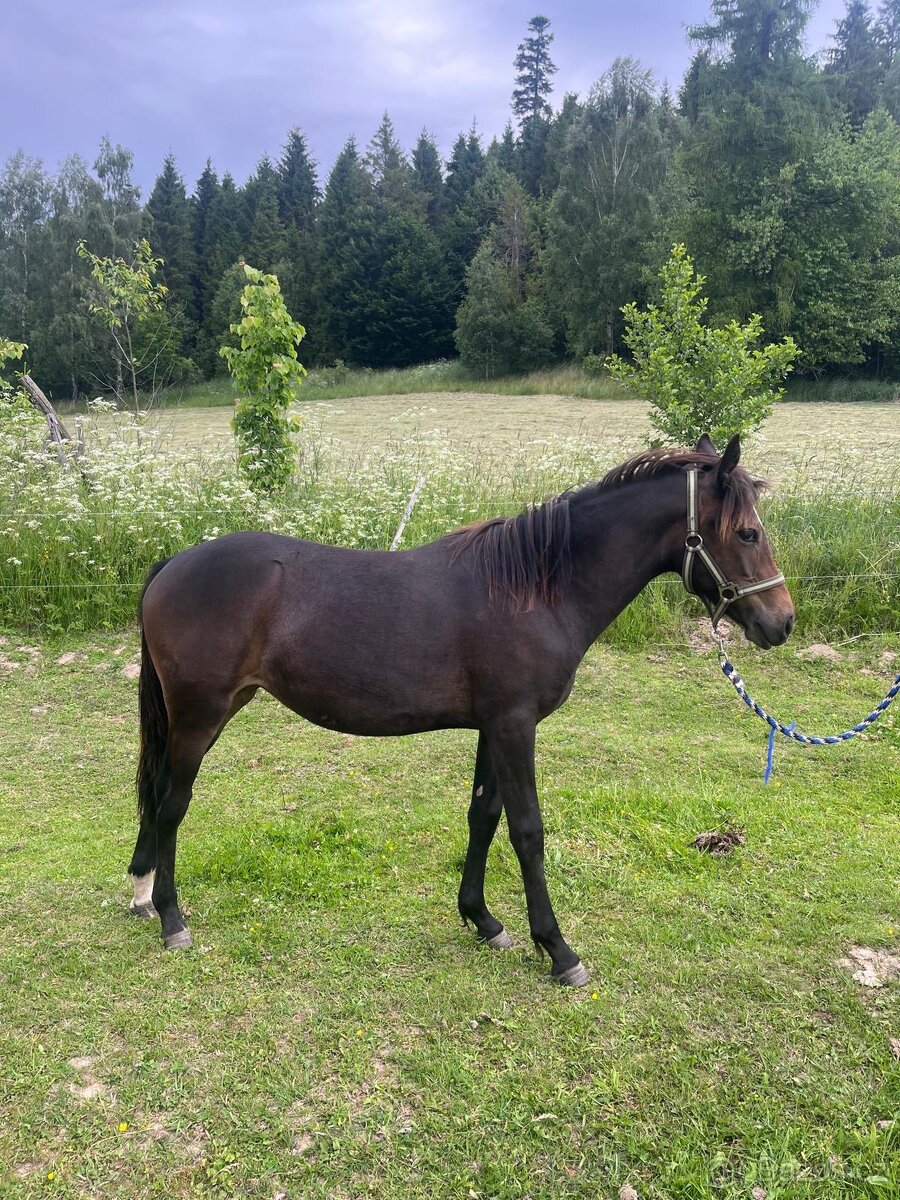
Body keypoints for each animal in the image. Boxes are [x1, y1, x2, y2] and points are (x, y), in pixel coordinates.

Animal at [129, 434, 794, 985]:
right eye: (747, 533)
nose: (781, 622)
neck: (536, 588)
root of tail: (172, 564)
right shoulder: (514, 726)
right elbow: (527, 830)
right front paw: (558, 950)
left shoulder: (492, 727)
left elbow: (484, 817)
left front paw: (483, 921)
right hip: (200, 715)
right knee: (171, 802)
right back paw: (171, 918)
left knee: (158, 793)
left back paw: (142, 893)